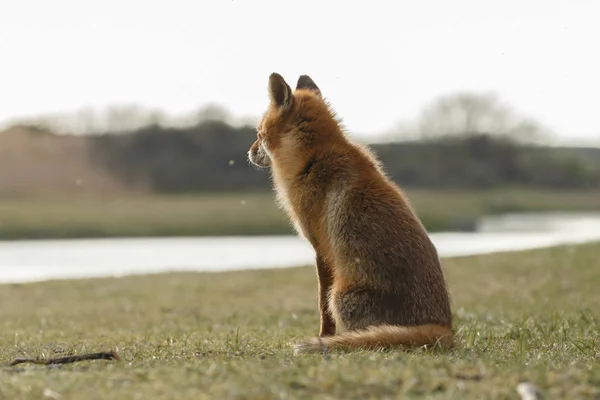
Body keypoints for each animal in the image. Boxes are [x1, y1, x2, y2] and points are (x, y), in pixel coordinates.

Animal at [246, 72, 452, 354]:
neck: (312, 159)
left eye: (259, 132)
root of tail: (446, 329)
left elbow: (322, 306)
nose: (248, 152)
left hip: (342, 296)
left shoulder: (321, 248)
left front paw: (324, 337)